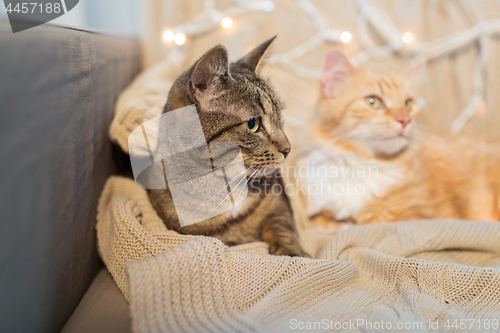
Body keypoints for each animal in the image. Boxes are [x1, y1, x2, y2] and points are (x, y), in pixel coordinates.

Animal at [147, 37, 308, 256]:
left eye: (279, 117)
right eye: (253, 123)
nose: (288, 149)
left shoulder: (279, 203)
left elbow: (283, 227)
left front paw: (293, 252)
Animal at [296, 50, 500, 224]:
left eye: (408, 104)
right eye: (373, 101)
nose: (405, 120)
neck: (361, 164)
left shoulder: (418, 217)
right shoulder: (322, 214)